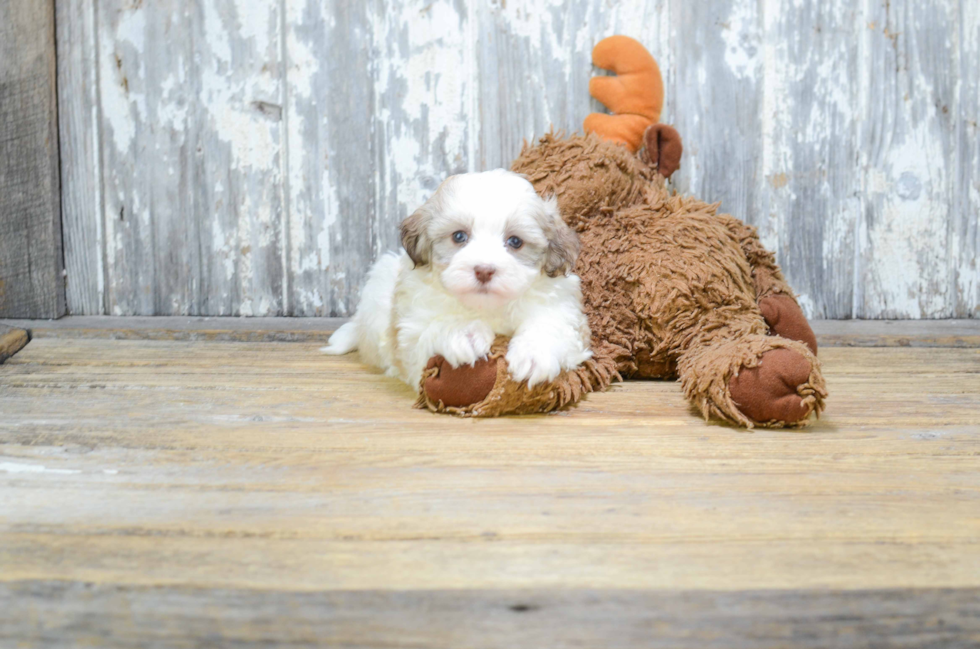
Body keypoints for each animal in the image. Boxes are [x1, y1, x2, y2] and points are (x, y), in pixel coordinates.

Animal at [326, 168, 592, 390]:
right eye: (459, 236)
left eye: (515, 241)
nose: (484, 270)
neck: (487, 307)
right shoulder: (411, 331)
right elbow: (430, 330)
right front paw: (465, 334)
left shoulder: (562, 310)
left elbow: (551, 325)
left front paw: (533, 355)